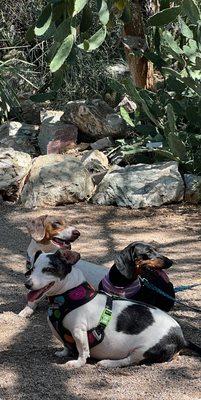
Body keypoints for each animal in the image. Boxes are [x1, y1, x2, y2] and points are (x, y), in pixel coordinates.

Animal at [22, 250, 194, 368]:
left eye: (48, 269)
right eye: (33, 268)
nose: (27, 284)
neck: (67, 296)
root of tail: (181, 338)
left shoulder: (79, 331)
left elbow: (83, 350)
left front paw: (78, 363)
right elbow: (67, 345)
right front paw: (64, 352)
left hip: (144, 350)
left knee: (130, 360)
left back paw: (108, 363)